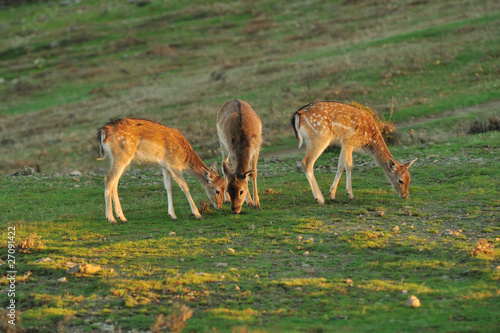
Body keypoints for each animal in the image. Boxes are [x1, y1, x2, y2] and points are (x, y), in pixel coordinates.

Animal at [96, 116, 225, 223]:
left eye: (225, 188)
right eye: (217, 191)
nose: (219, 206)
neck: (184, 158)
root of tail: (103, 132)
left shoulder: (165, 167)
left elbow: (169, 187)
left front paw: (173, 215)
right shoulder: (174, 165)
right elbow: (184, 186)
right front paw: (198, 214)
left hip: (118, 158)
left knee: (114, 183)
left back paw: (122, 217)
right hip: (122, 155)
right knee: (108, 179)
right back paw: (111, 218)